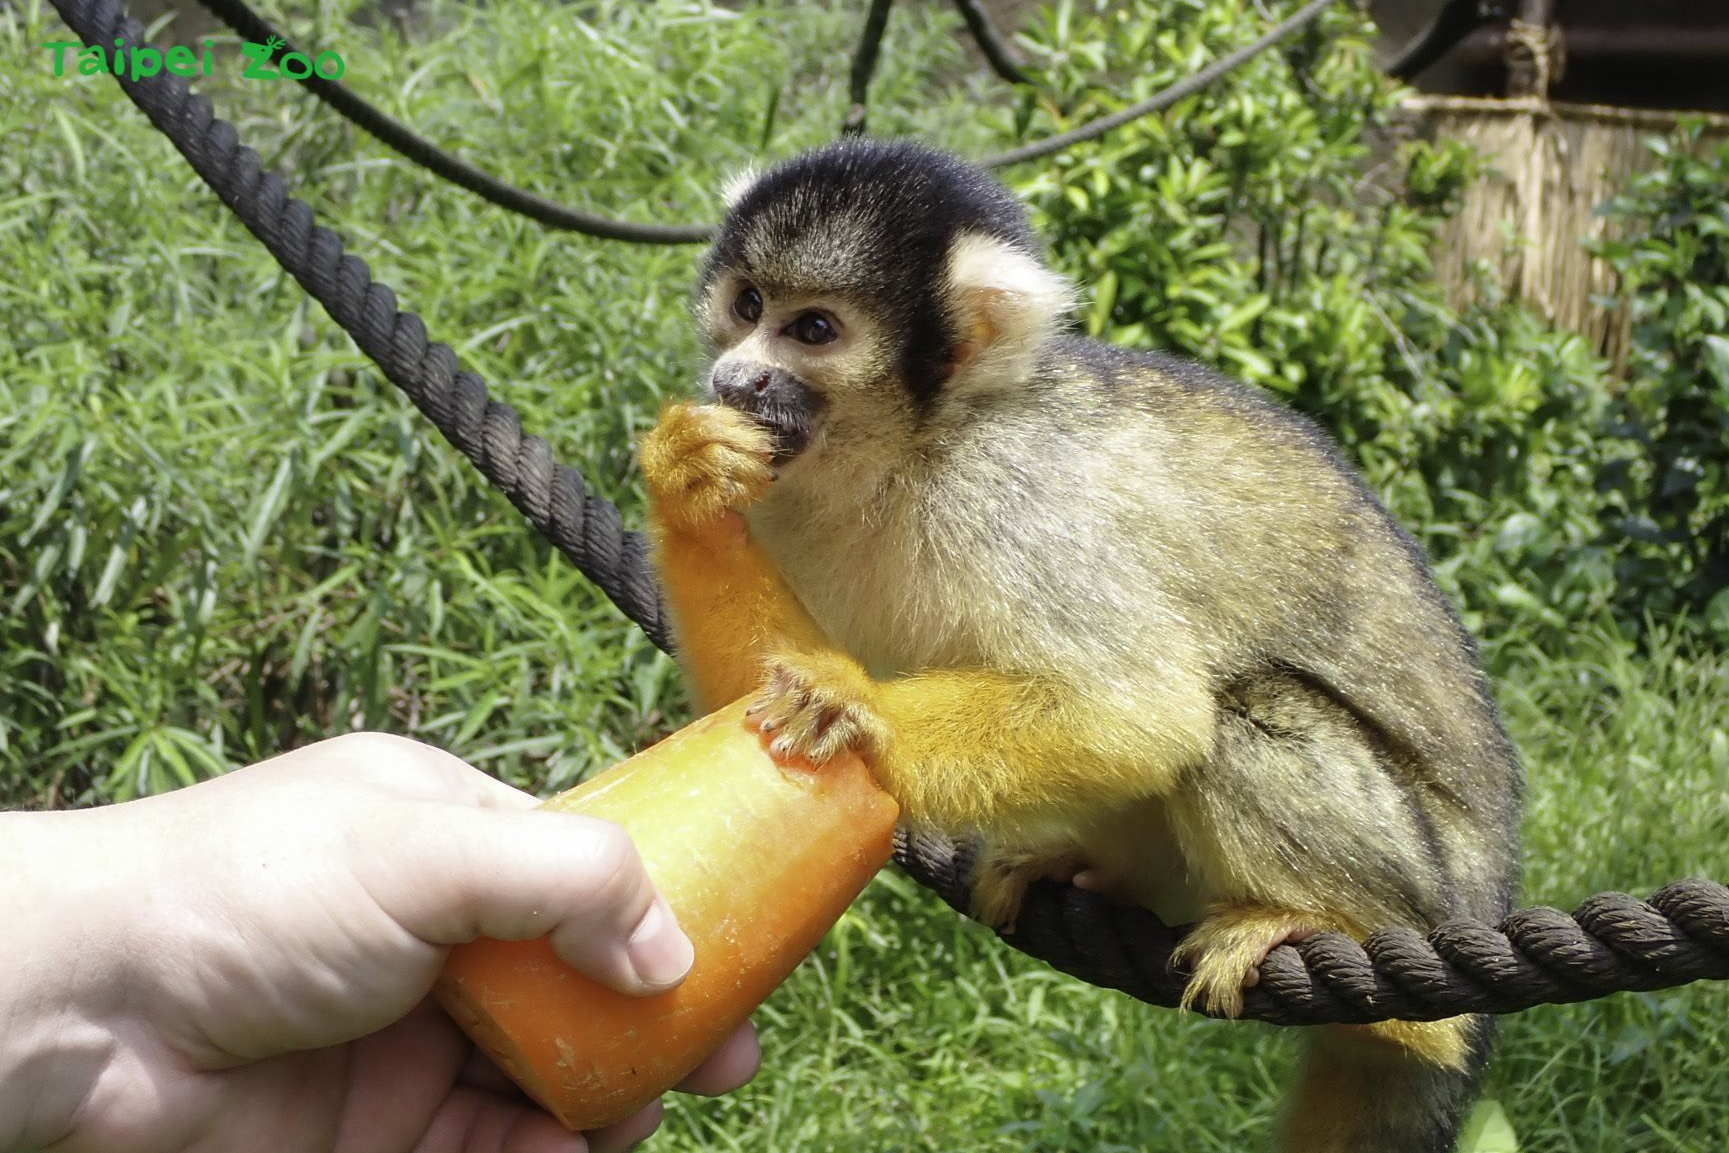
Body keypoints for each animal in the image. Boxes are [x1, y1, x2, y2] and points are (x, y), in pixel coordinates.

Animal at [639, 141, 1528, 1153]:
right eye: (748, 305)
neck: (915, 445)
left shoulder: (1017, 491)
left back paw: (1342, 957)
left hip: (1422, 883)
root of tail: (1485, 890)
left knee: (1245, 707)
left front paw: (853, 709)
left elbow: (1141, 708)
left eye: (813, 328)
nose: (737, 379)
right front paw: (688, 477)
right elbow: (747, 704)